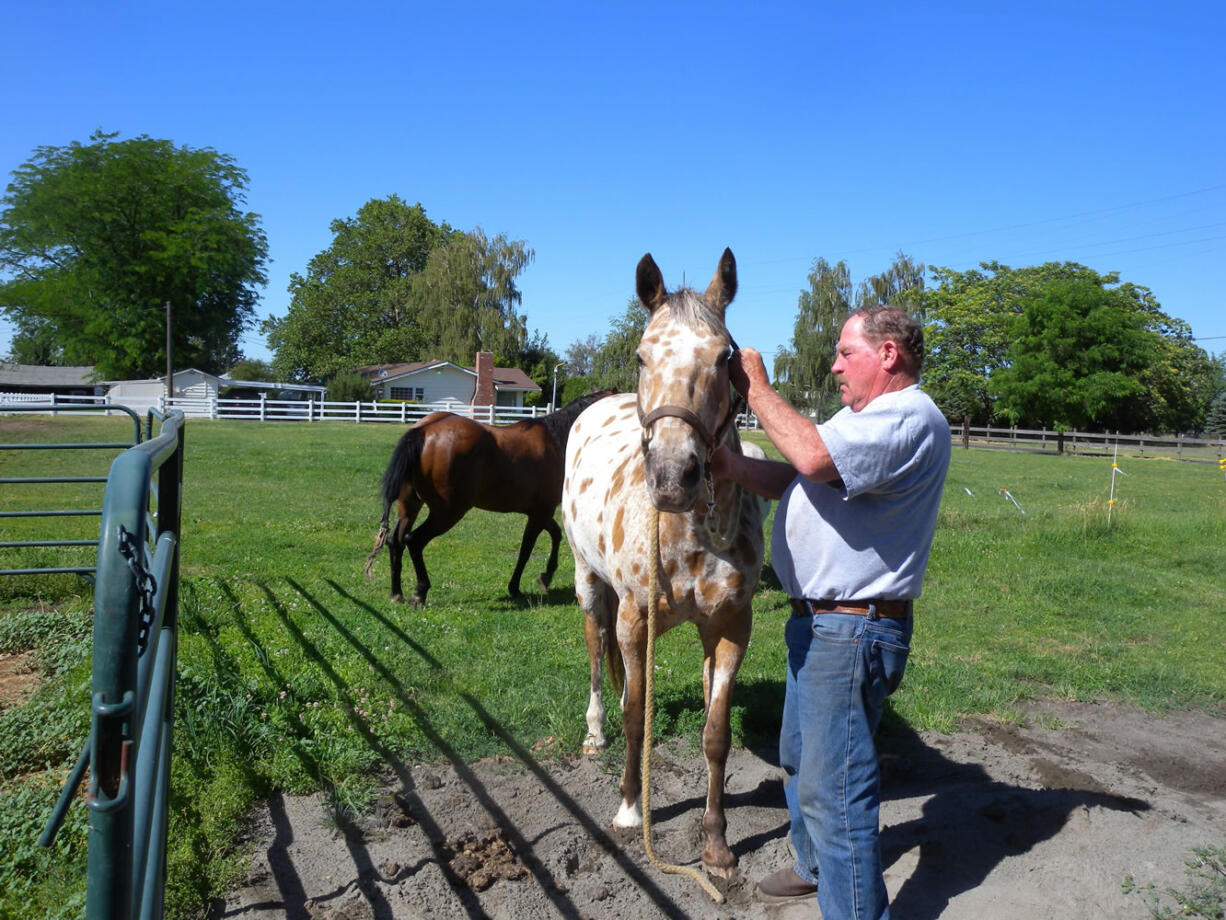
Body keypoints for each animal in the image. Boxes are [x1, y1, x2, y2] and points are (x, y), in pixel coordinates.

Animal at [362, 392, 613, 608]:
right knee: (414, 541)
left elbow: (555, 535)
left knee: (396, 542)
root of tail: (423, 430)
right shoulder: (541, 512)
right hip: (448, 512)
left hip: (409, 506)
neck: (557, 441)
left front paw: (545, 576)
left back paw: (397, 593)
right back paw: (420, 591)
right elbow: (526, 549)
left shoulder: (540, 511)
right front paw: (516, 587)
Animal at [561, 249, 765, 883]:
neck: (692, 532)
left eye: (725, 356)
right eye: (641, 355)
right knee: (597, 652)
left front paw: (716, 845)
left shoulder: (730, 626)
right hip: (588, 583)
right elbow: (634, 715)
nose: (674, 476)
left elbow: (716, 733)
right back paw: (593, 733)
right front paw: (630, 808)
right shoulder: (633, 617)